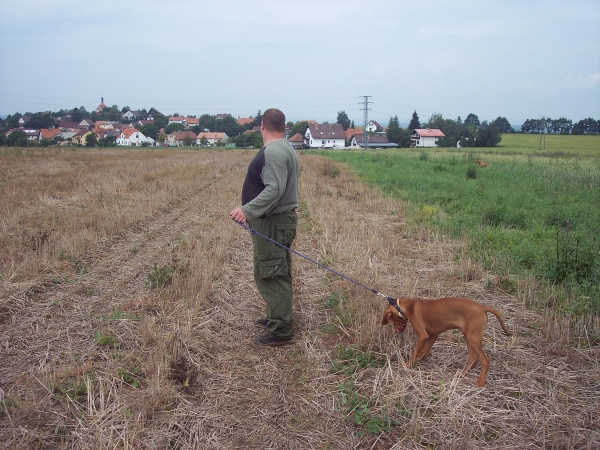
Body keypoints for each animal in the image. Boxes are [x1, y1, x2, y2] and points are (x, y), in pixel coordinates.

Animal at [381, 297, 510, 387]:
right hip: (468, 337)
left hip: (473, 338)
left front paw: (407, 364)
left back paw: (481, 382)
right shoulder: (433, 335)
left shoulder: (423, 335)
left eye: (391, 319)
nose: (397, 331)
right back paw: (462, 374)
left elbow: (415, 352)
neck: (411, 306)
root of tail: (482, 307)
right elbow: (424, 352)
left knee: (484, 360)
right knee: (473, 359)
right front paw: (417, 361)